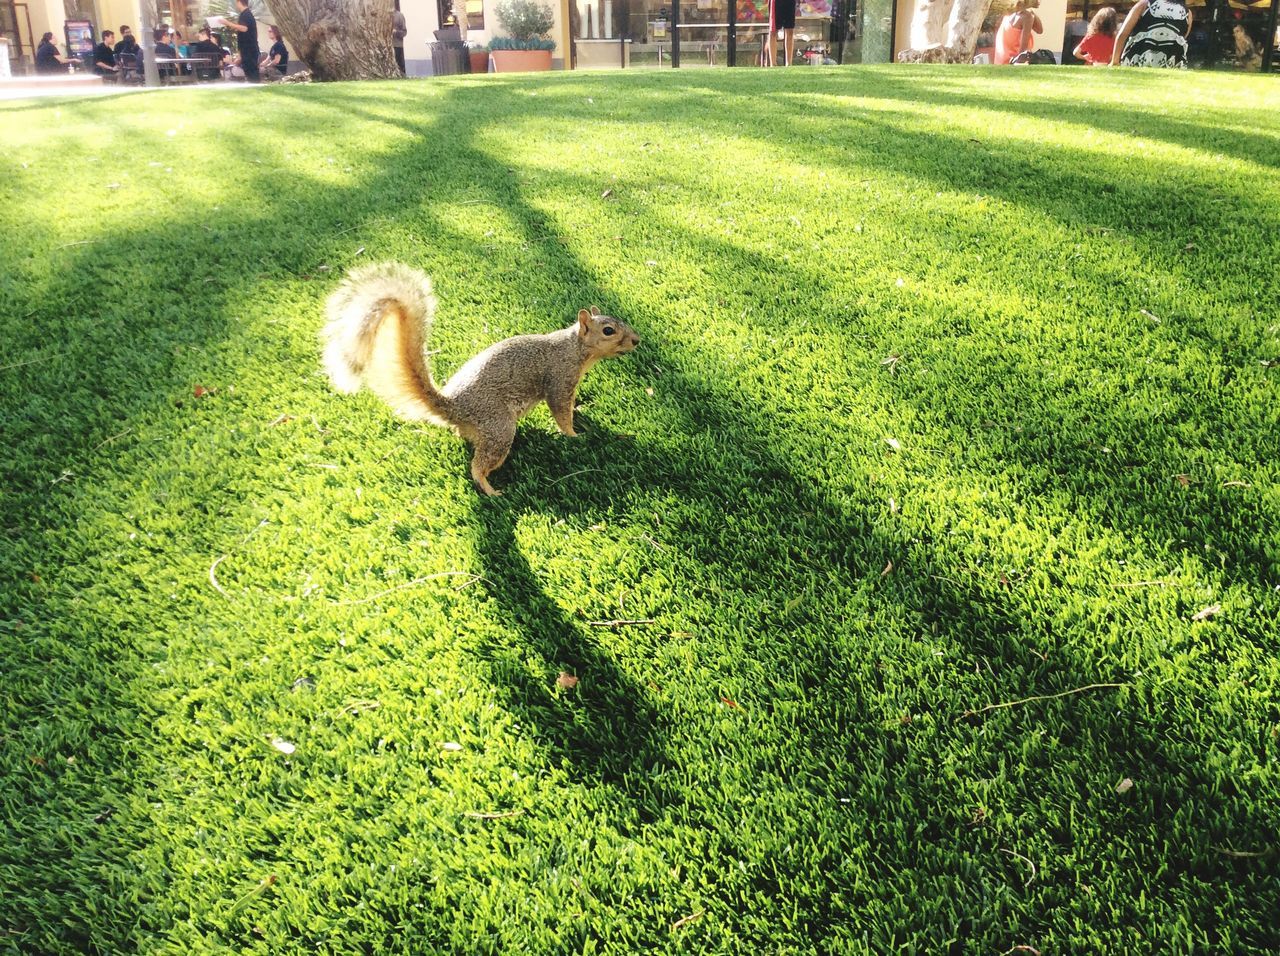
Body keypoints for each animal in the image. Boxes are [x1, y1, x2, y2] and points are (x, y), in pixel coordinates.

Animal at [320, 263, 640, 496]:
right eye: (609, 330)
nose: (636, 340)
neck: (575, 349)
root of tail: (453, 408)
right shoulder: (559, 379)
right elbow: (560, 411)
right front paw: (575, 435)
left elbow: (570, 407)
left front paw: (580, 415)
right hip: (498, 427)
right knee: (479, 465)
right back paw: (490, 488)